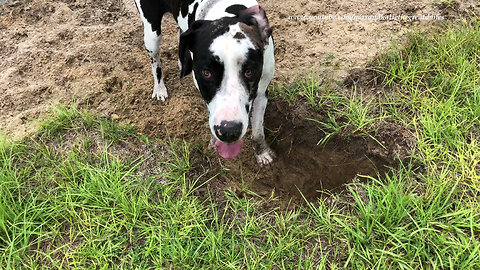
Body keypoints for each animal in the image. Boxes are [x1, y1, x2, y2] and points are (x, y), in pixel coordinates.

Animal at [135, 0, 276, 165]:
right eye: (206, 73)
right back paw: (159, 88)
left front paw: (261, 152)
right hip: (152, 35)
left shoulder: (261, 93)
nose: (228, 131)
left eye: (250, 71)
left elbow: (258, 128)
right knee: (155, 60)